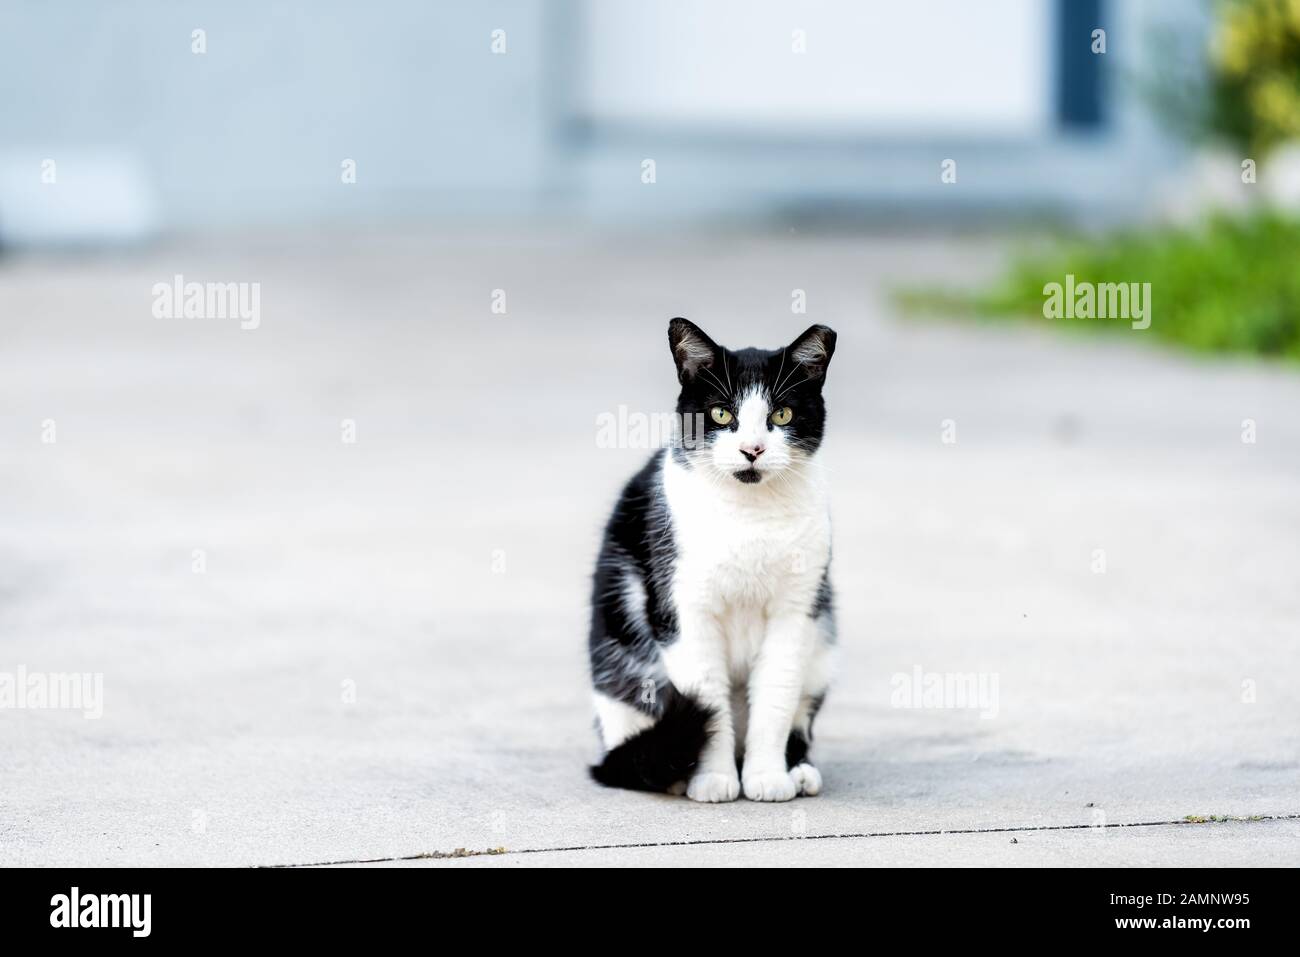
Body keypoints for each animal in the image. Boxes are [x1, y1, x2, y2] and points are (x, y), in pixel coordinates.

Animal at [587, 319, 837, 800]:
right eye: (722, 414)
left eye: (782, 415)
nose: (753, 449)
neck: (749, 513)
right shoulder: (684, 609)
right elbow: (708, 703)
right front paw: (715, 779)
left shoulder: (796, 611)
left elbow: (776, 698)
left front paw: (767, 777)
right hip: (616, 657)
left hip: (823, 640)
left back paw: (799, 769)